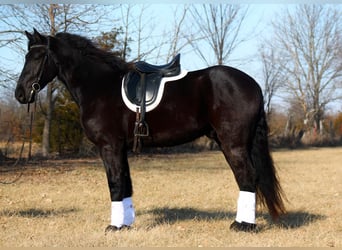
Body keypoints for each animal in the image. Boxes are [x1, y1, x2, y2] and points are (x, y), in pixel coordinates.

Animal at [14, 29, 286, 232]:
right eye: (26, 56)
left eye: (37, 57)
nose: (20, 94)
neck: (100, 87)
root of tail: (252, 84)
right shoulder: (120, 148)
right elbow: (125, 183)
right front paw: (126, 223)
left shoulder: (109, 146)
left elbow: (115, 183)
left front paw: (114, 227)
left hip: (233, 143)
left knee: (247, 177)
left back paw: (243, 225)